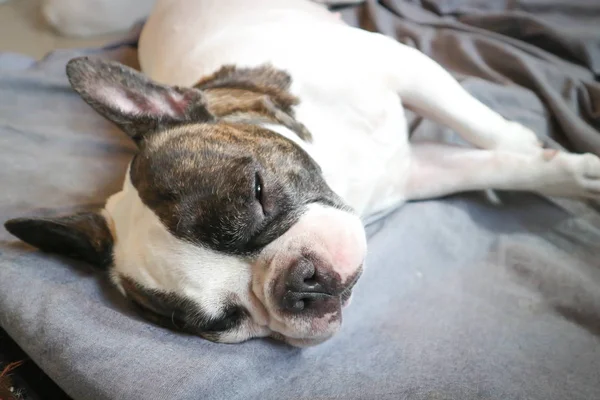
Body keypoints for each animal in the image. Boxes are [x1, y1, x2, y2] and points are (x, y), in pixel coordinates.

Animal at [4, 0, 600, 346]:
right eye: (226, 323)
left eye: (257, 192)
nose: (301, 285)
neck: (339, 171)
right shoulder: (416, 172)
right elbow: (493, 167)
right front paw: (568, 173)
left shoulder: (401, 65)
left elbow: (479, 126)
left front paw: (531, 145)